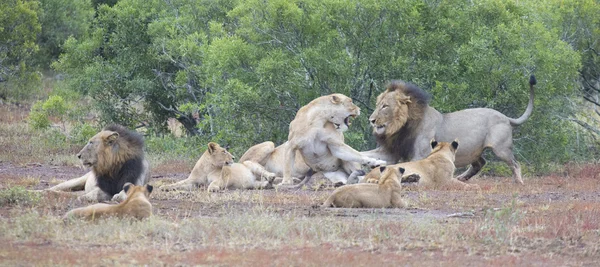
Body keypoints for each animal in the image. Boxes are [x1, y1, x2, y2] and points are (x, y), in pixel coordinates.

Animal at [364, 75, 536, 184]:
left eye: (385, 106)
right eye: (378, 104)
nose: (371, 120)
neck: (401, 127)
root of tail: (506, 117)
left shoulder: (420, 154)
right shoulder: (392, 150)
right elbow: (366, 154)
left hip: (501, 149)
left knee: (515, 164)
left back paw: (518, 182)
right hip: (473, 150)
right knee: (480, 163)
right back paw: (462, 178)